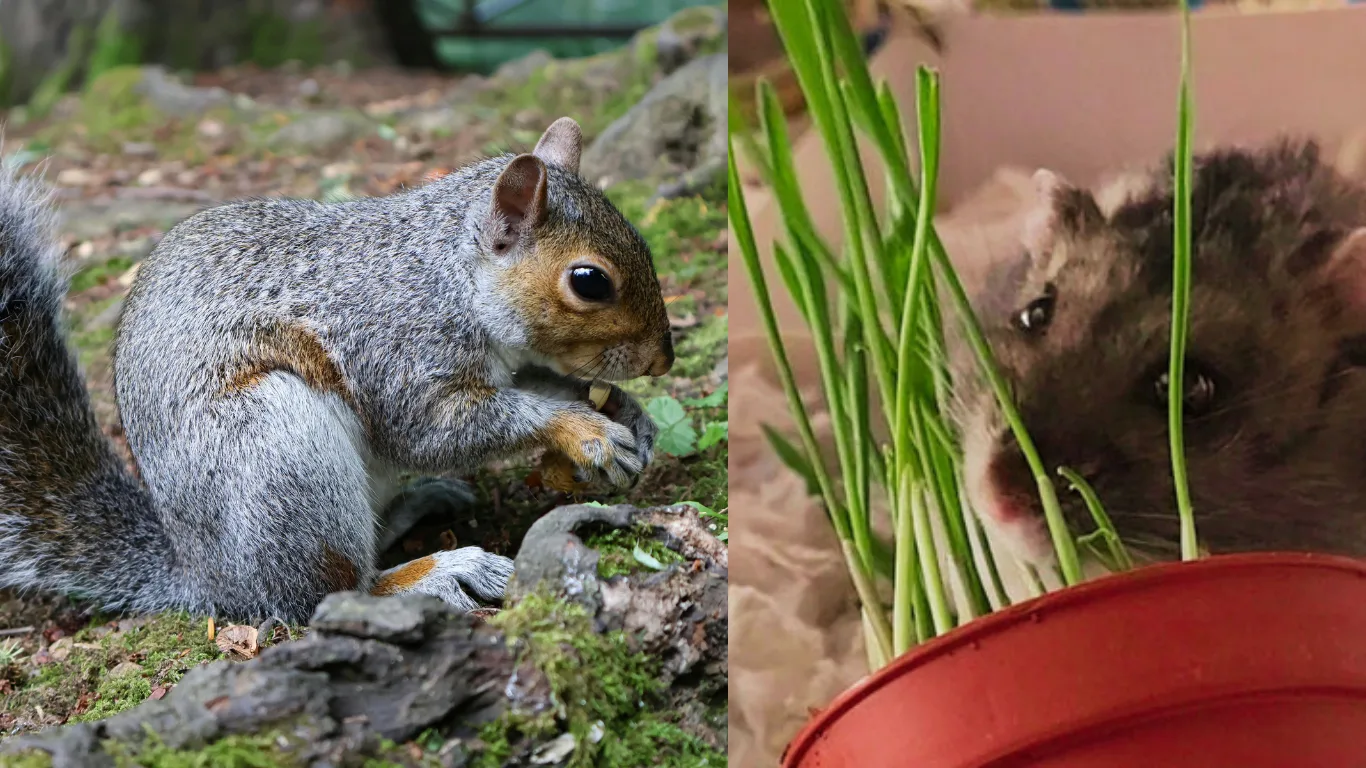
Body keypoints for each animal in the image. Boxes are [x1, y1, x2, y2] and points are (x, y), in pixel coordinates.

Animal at [0, 117, 674, 623]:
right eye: (589, 281)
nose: (663, 358)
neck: (450, 276)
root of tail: (205, 578)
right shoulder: (395, 351)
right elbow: (435, 432)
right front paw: (585, 430)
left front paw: (627, 413)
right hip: (276, 448)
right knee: (328, 592)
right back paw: (438, 573)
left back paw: (417, 508)